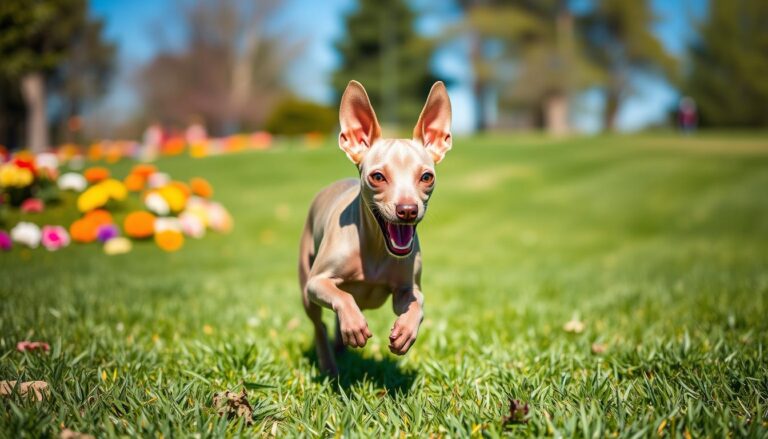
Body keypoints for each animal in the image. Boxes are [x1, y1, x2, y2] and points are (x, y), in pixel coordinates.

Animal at [298, 79, 452, 374]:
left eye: (426, 177)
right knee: (319, 324)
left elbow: (417, 303)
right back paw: (329, 362)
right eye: (378, 177)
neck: (376, 249)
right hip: (305, 288)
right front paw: (354, 325)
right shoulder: (317, 282)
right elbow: (341, 297)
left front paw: (405, 330)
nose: (407, 210)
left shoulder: (405, 290)